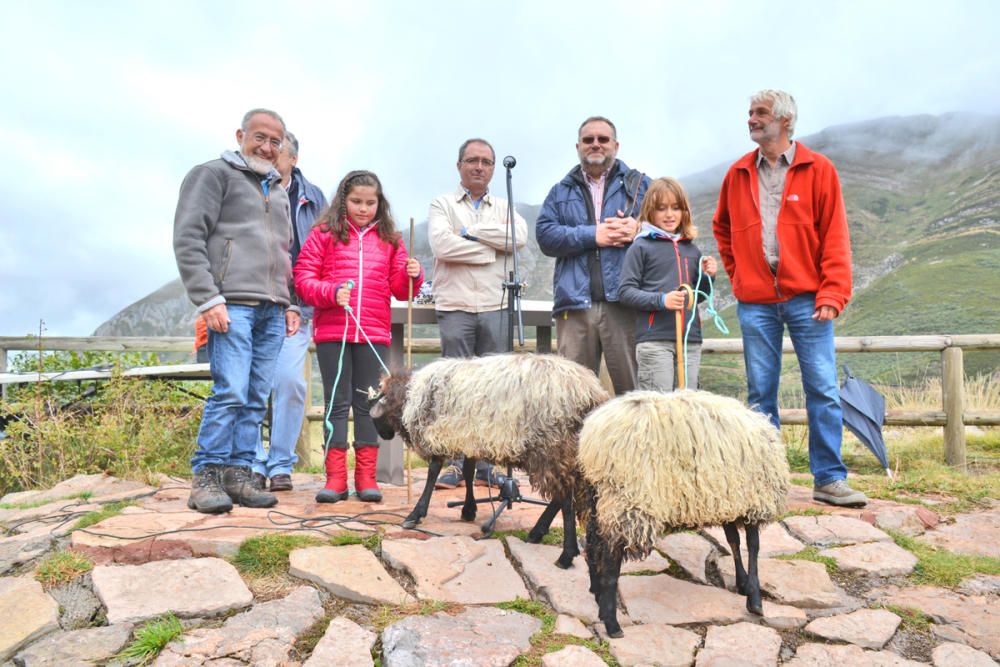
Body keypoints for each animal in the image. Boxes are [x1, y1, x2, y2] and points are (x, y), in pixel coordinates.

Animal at [370, 354, 608, 568]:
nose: (384, 436)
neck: (410, 396)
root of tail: (591, 393)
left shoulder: (439, 434)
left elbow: (433, 472)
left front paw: (415, 514)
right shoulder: (468, 437)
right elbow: (468, 471)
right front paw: (469, 509)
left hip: (552, 446)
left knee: (565, 500)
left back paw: (565, 555)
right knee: (562, 496)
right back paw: (538, 533)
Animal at [580, 388, 788, 640]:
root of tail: (595, 437)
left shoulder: (726, 498)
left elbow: (734, 541)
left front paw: (742, 583)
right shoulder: (752, 498)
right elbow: (753, 545)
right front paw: (754, 598)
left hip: (597, 496)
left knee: (593, 545)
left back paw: (597, 596)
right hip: (627, 497)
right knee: (611, 558)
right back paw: (612, 623)